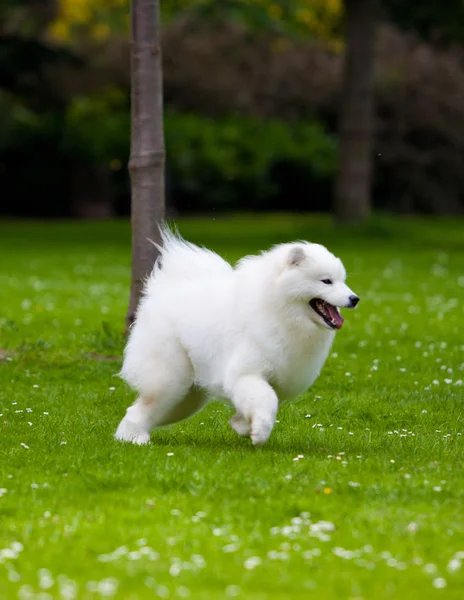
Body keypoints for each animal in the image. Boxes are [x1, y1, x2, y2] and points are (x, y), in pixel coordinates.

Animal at [115, 229, 358, 446]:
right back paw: (134, 438)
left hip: (187, 396)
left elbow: (263, 402)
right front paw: (259, 433)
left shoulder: (278, 377)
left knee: (144, 410)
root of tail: (161, 292)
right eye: (326, 281)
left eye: (343, 281)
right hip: (170, 381)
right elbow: (266, 400)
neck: (279, 309)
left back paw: (128, 436)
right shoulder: (246, 373)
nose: (354, 298)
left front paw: (241, 425)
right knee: (142, 407)